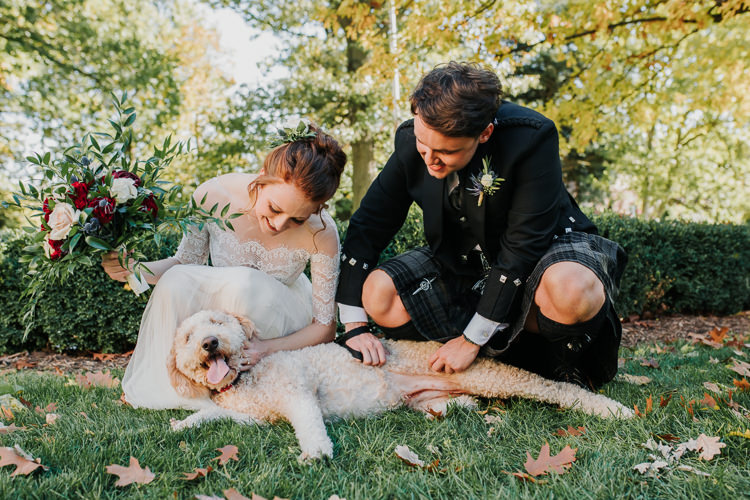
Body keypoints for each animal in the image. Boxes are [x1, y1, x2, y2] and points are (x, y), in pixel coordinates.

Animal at [169, 310, 636, 458]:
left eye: (217, 323)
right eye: (188, 337)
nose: (209, 343)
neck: (246, 377)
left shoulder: (297, 393)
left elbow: (308, 422)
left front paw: (316, 451)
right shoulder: (252, 419)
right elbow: (210, 415)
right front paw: (181, 424)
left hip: (488, 373)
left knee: (556, 389)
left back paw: (613, 409)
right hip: (432, 399)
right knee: (454, 405)